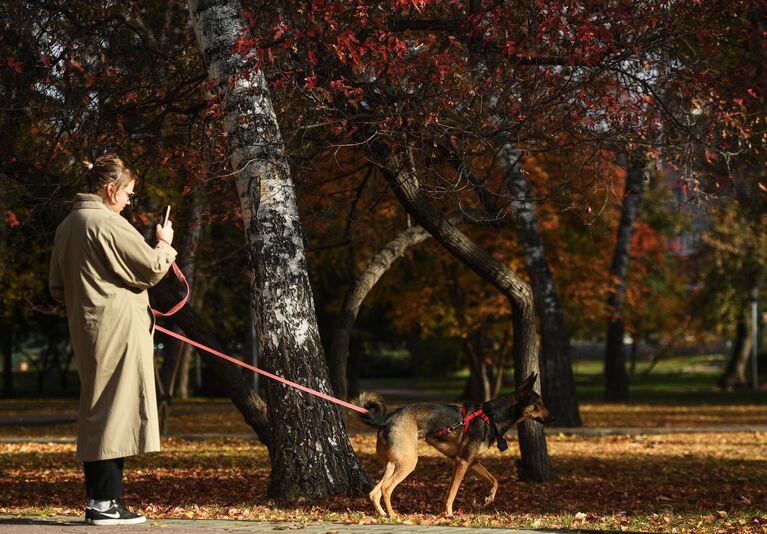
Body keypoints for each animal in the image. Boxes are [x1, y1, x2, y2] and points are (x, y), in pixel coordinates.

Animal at [356, 372, 548, 520]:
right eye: (538, 404)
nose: (552, 418)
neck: (492, 416)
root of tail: (388, 417)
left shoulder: (471, 462)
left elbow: (494, 480)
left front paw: (489, 498)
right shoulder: (462, 462)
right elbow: (453, 492)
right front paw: (448, 513)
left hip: (394, 462)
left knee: (374, 492)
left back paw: (382, 514)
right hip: (408, 463)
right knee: (386, 488)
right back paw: (393, 515)